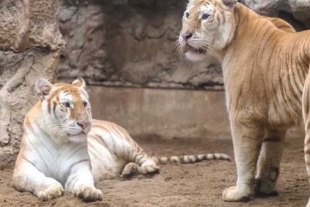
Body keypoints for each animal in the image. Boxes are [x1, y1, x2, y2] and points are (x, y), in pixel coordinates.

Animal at [12, 77, 230, 201]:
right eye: (67, 104)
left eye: (85, 103)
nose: (85, 123)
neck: (59, 138)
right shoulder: (24, 168)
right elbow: (38, 178)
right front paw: (50, 190)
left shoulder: (79, 166)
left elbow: (83, 180)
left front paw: (89, 191)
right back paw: (128, 171)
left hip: (123, 143)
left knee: (145, 157)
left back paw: (146, 168)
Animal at [179, 0, 310, 205]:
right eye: (187, 14)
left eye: (205, 16)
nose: (185, 36)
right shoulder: (275, 123)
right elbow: (269, 155)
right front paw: (264, 189)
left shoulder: (242, 114)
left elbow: (243, 156)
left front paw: (239, 193)